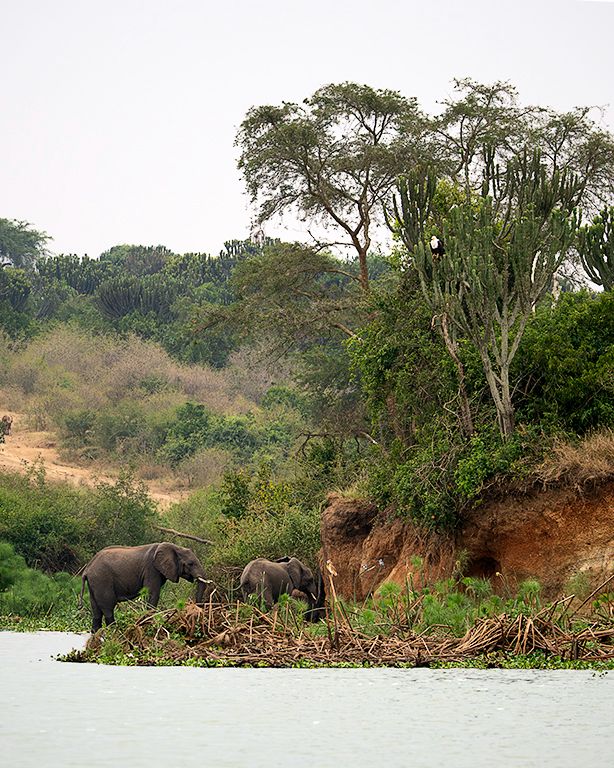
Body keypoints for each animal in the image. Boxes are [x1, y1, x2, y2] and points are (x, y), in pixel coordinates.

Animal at [80, 542, 209, 632]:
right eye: (190, 564)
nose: (197, 609)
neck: (175, 547)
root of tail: (87, 569)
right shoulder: (151, 569)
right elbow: (153, 594)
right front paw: (149, 621)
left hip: (95, 583)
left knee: (96, 610)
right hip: (102, 580)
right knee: (108, 607)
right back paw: (114, 631)